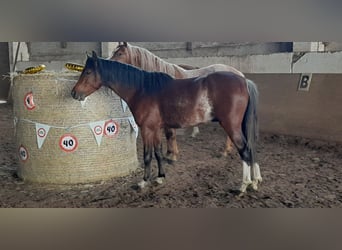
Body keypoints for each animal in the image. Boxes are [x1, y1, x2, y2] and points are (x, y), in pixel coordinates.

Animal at [109, 42, 243, 161]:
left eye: (120, 53)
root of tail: (239, 74)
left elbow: (171, 134)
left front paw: (173, 156)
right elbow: (168, 134)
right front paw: (169, 153)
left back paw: (225, 151)